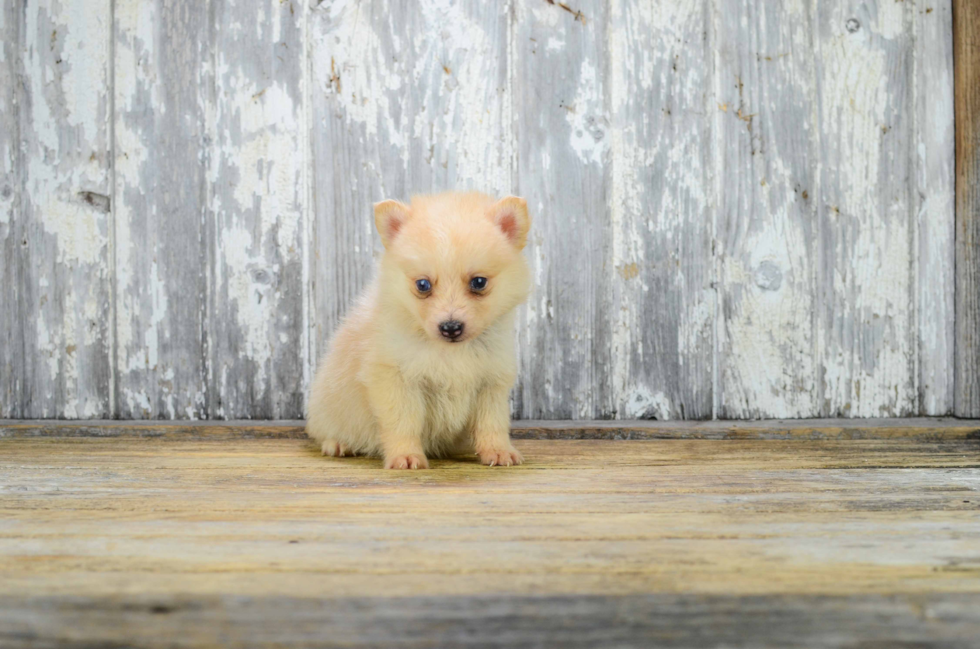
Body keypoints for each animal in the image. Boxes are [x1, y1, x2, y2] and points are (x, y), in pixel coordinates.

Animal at [308, 190, 532, 468]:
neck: (451, 352)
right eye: (423, 285)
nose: (450, 327)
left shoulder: (491, 384)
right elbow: (403, 423)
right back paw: (338, 444)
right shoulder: (396, 380)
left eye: (479, 282)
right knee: (326, 431)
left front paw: (498, 451)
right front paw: (405, 456)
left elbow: (492, 423)